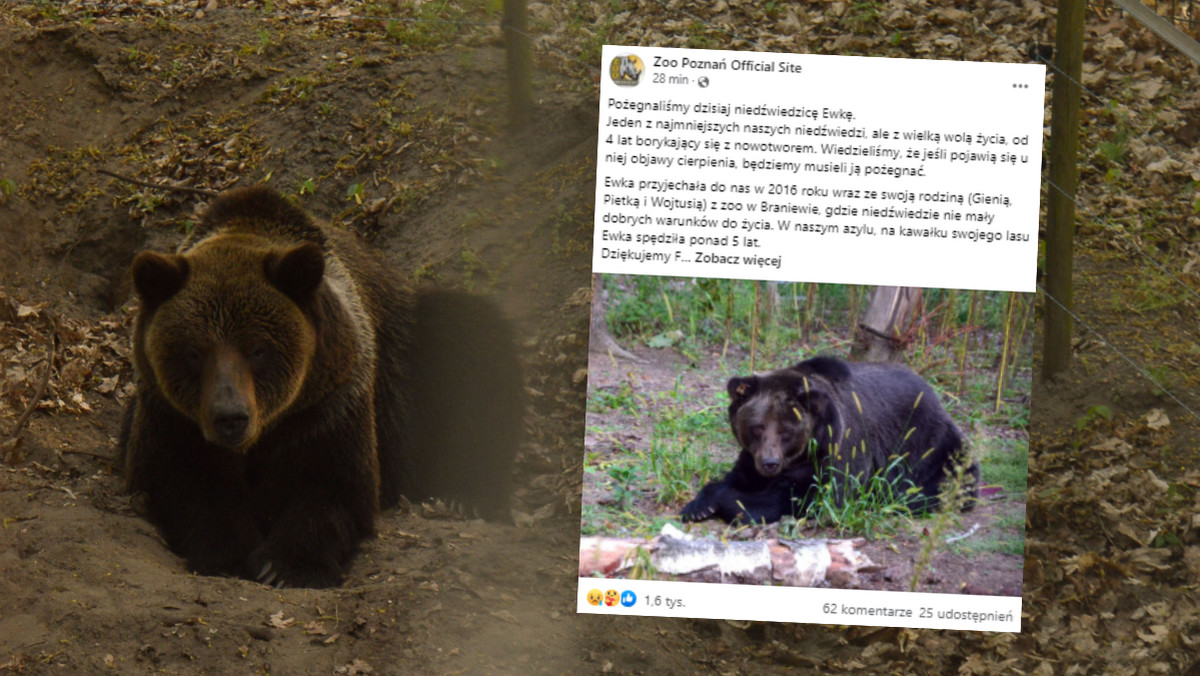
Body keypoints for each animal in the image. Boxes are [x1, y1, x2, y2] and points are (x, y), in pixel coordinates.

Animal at [115, 184, 520, 588]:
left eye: (258, 349)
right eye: (194, 351)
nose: (230, 417)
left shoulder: (329, 405)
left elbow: (333, 489)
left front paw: (285, 566)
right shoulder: (172, 417)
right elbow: (180, 480)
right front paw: (231, 554)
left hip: (413, 351)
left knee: (473, 344)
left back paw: (468, 496)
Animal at [686, 357, 974, 525]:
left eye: (785, 431)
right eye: (758, 427)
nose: (770, 463)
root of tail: (932, 389)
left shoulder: (834, 455)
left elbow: (791, 498)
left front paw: (723, 500)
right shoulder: (752, 457)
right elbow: (738, 476)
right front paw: (699, 505)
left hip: (924, 440)